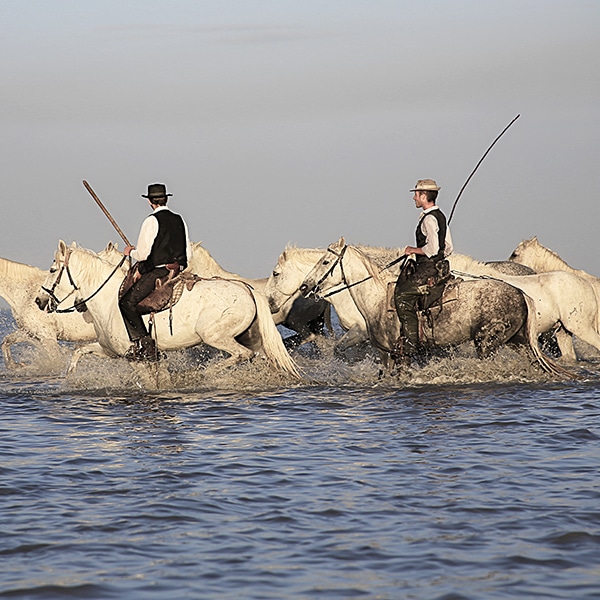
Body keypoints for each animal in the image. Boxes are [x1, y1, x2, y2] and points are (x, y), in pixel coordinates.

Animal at [34, 239, 300, 380]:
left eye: (52, 269)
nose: (38, 301)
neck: (109, 299)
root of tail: (246, 288)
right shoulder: (111, 350)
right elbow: (79, 352)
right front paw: (70, 378)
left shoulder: (135, 358)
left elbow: (152, 382)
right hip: (251, 337)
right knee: (263, 357)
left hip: (215, 336)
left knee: (242, 355)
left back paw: (200, 374)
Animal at [296, 238, 568, 376]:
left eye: (325, 261)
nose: (305, 286)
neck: (376, 299)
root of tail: (521, 293)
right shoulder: (385, 354)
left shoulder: (398, 353)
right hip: (517, 342)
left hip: (487, 342)